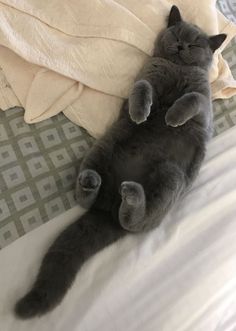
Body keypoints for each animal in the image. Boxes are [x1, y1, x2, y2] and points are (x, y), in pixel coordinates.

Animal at [15, 6, 227, 320]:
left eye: (194, 44)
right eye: (177, 34)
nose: (180, 46)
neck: (178, 68)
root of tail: (108, 208)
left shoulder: (204, 106)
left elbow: (192, 98)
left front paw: (172, 117)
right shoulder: (145, 76)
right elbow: (142, 86)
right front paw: (141, 112)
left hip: (171, 176)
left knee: (135, 224)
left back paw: (130, 196)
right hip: (104, 148)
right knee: (88, 200)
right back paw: (91, 183)